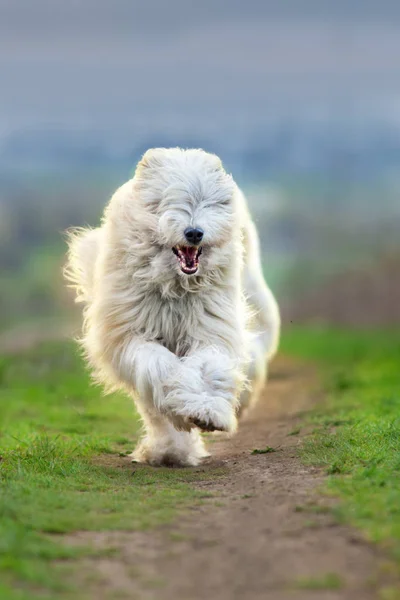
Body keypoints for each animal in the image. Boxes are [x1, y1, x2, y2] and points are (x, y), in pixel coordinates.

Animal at [64, 148, 280, 466]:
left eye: (206, 202)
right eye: (166, 202)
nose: (194, 233)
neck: (176, 287)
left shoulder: (209, 329)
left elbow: (208, 367)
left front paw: (208, 412)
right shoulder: (133, 335)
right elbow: (162, 370)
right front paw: (183, 424)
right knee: (153, 408)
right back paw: (170, 450)